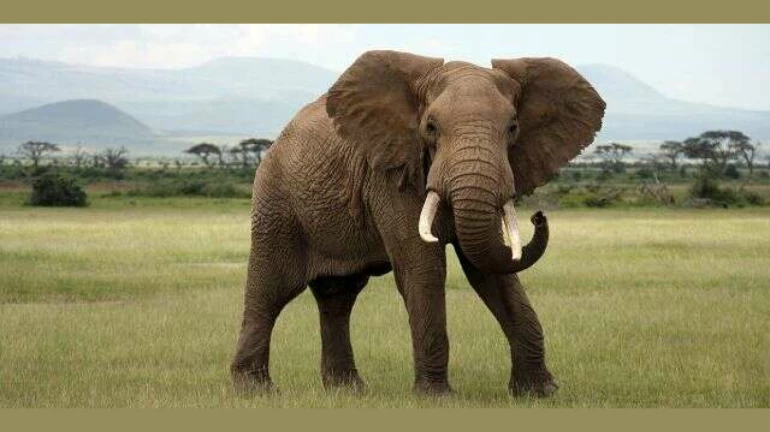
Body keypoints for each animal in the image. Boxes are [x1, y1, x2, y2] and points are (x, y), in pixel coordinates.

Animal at [231, 50, 605, 397]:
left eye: (513, 128)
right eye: (431, 128)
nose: (538, 216)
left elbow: (491, 269)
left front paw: (540, 393)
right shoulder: (390, 174)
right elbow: (424, 268)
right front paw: (437, 397)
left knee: (338, 296)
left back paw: (348, 391)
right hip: (276, 203)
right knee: (271, 289)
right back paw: (256, 391)